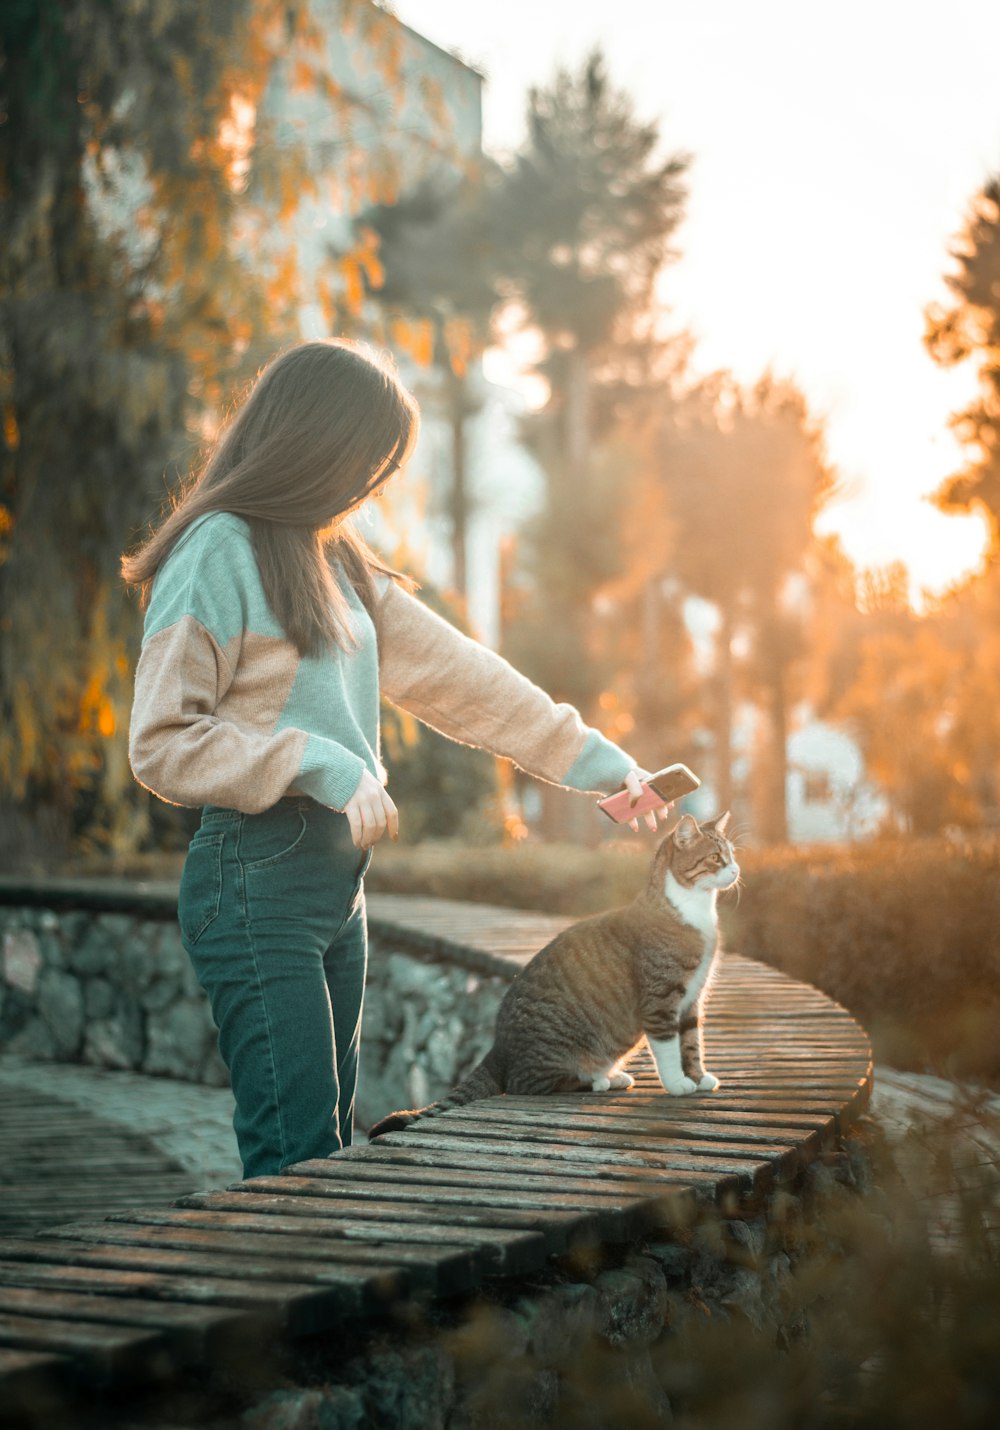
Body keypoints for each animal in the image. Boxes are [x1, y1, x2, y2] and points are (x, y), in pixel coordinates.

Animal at [366, 817, 738, 1138]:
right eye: (716, 857)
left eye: (732, 854)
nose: (736, 869)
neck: (695, 911)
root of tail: (499, 1048)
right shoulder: (660, 1000)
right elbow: (669, 1048)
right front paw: (677, 1083)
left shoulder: (693, 998)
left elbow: (691, 1042)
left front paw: (699, 1077)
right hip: (552, 1054)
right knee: (525, 1084)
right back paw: (597, 1080)